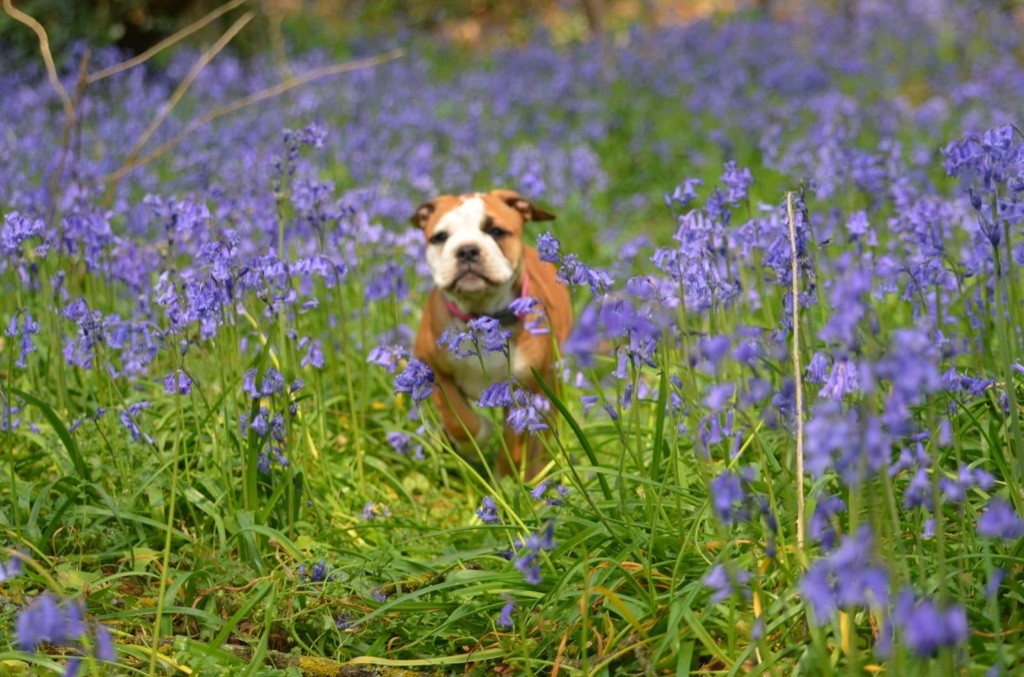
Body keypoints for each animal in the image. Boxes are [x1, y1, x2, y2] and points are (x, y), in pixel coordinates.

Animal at [413, 187, 577, 477]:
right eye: (440, 237)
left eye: (496, 231)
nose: (467, 250)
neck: (481, 316)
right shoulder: (430, 366)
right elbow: (457, 416)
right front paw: (473, 438)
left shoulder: (523, 389)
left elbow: (515, 440)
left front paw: (507, 476)